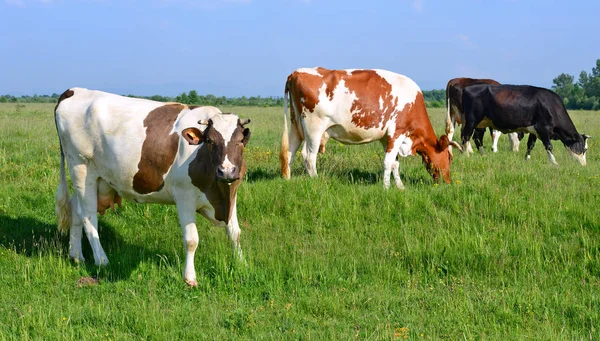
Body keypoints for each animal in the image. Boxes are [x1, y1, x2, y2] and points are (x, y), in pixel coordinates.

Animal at [54, 87, 251, 284]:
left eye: (240, 141)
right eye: (209, 141)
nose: (226, 171)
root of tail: (75, 90)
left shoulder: (231, 195)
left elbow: (235, 232)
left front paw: (241, 264)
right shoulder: (184, 197)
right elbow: (191, 240)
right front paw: (189, 278)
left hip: (92, 178)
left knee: (76, 209)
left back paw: (76, 255)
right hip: (80, 167)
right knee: (88, 217)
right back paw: (102, 260)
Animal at [278, 67, 462, 189]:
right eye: (449, 158)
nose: (448, 182)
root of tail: (297, 72)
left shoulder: (386, 138)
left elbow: (395, 163)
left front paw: (400, 187)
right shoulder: (397, 132)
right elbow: (388, 162)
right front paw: (386, 188)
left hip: (296, 126)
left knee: (289, 153)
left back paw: (287, 180)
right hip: (313, 128)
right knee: (309, 156)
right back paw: (316, 180)